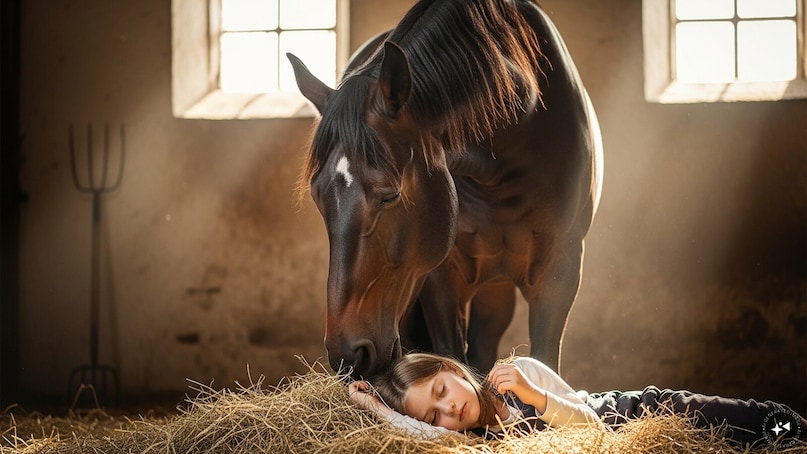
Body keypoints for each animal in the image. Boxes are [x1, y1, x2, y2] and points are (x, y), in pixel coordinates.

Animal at [288, 0, 603, 379]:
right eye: (319, 198)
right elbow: (452, 355)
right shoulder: (441, 279)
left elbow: (544, 361)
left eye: (389, 195)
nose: (348, 355)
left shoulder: (560, 272)